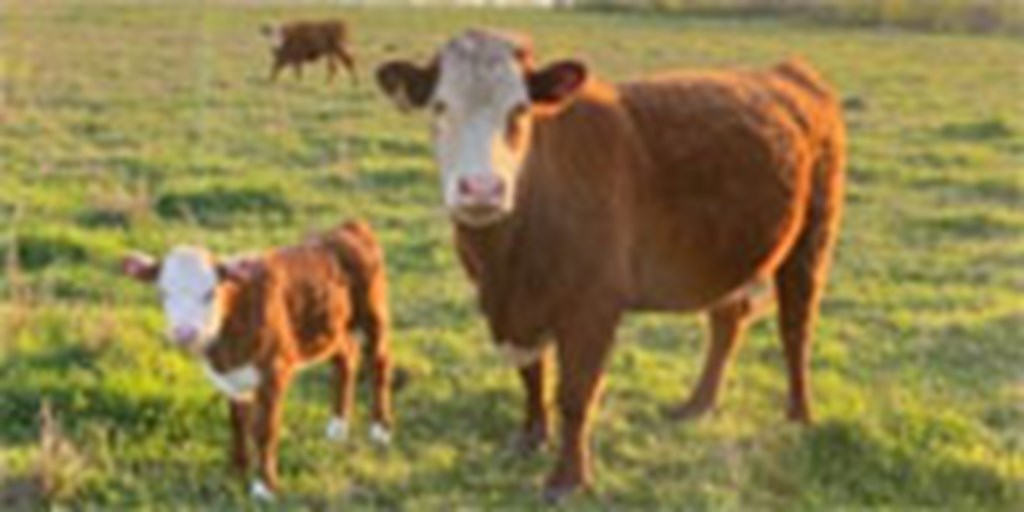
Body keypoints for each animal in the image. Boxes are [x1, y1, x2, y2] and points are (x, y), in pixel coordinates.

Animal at [121, 221, 395, 501]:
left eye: (210, 292)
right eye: (163, 292)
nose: (185, 333)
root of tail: (348, 227)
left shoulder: (274, 370)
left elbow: (265, 430)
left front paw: (264, 487)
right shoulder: (233, 379)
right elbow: (238, 424)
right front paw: (237, 472)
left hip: (373, 315)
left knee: (379, 365)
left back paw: (380, 430)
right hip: (332, 326)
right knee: (345, 359)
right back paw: (337, 428)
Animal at [375, 29, 846, 501]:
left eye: (521, 109)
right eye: (440, 106)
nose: (481, 188)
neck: (507, 262)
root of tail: (788, 71)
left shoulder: (593, 306)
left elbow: (575, 394)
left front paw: (568, 478)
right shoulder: (510, 309)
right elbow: (531, 373)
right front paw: (531, 437)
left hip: (812, 237)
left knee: (795, 328)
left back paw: (799, 414)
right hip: (724, 255)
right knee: (727, 322)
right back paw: (698, 404)